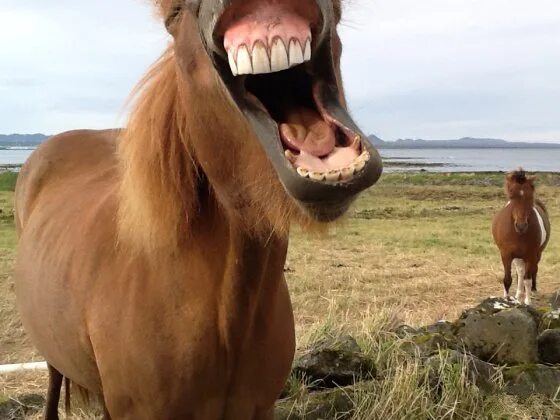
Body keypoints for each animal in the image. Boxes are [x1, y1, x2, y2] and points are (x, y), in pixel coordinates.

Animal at [492, 170, 548, 306]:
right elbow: (508, 279)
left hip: (535, 255)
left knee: (532, 271)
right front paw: (506, 300)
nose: (521, 225)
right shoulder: (506, 254)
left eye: (529, 197)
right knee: (520, 273)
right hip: (518, 257)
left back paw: (532, 291)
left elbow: (527, 279)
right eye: (512, 197)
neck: (519, 234)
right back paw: (518, 295)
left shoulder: (531, 255)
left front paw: (527, 302)